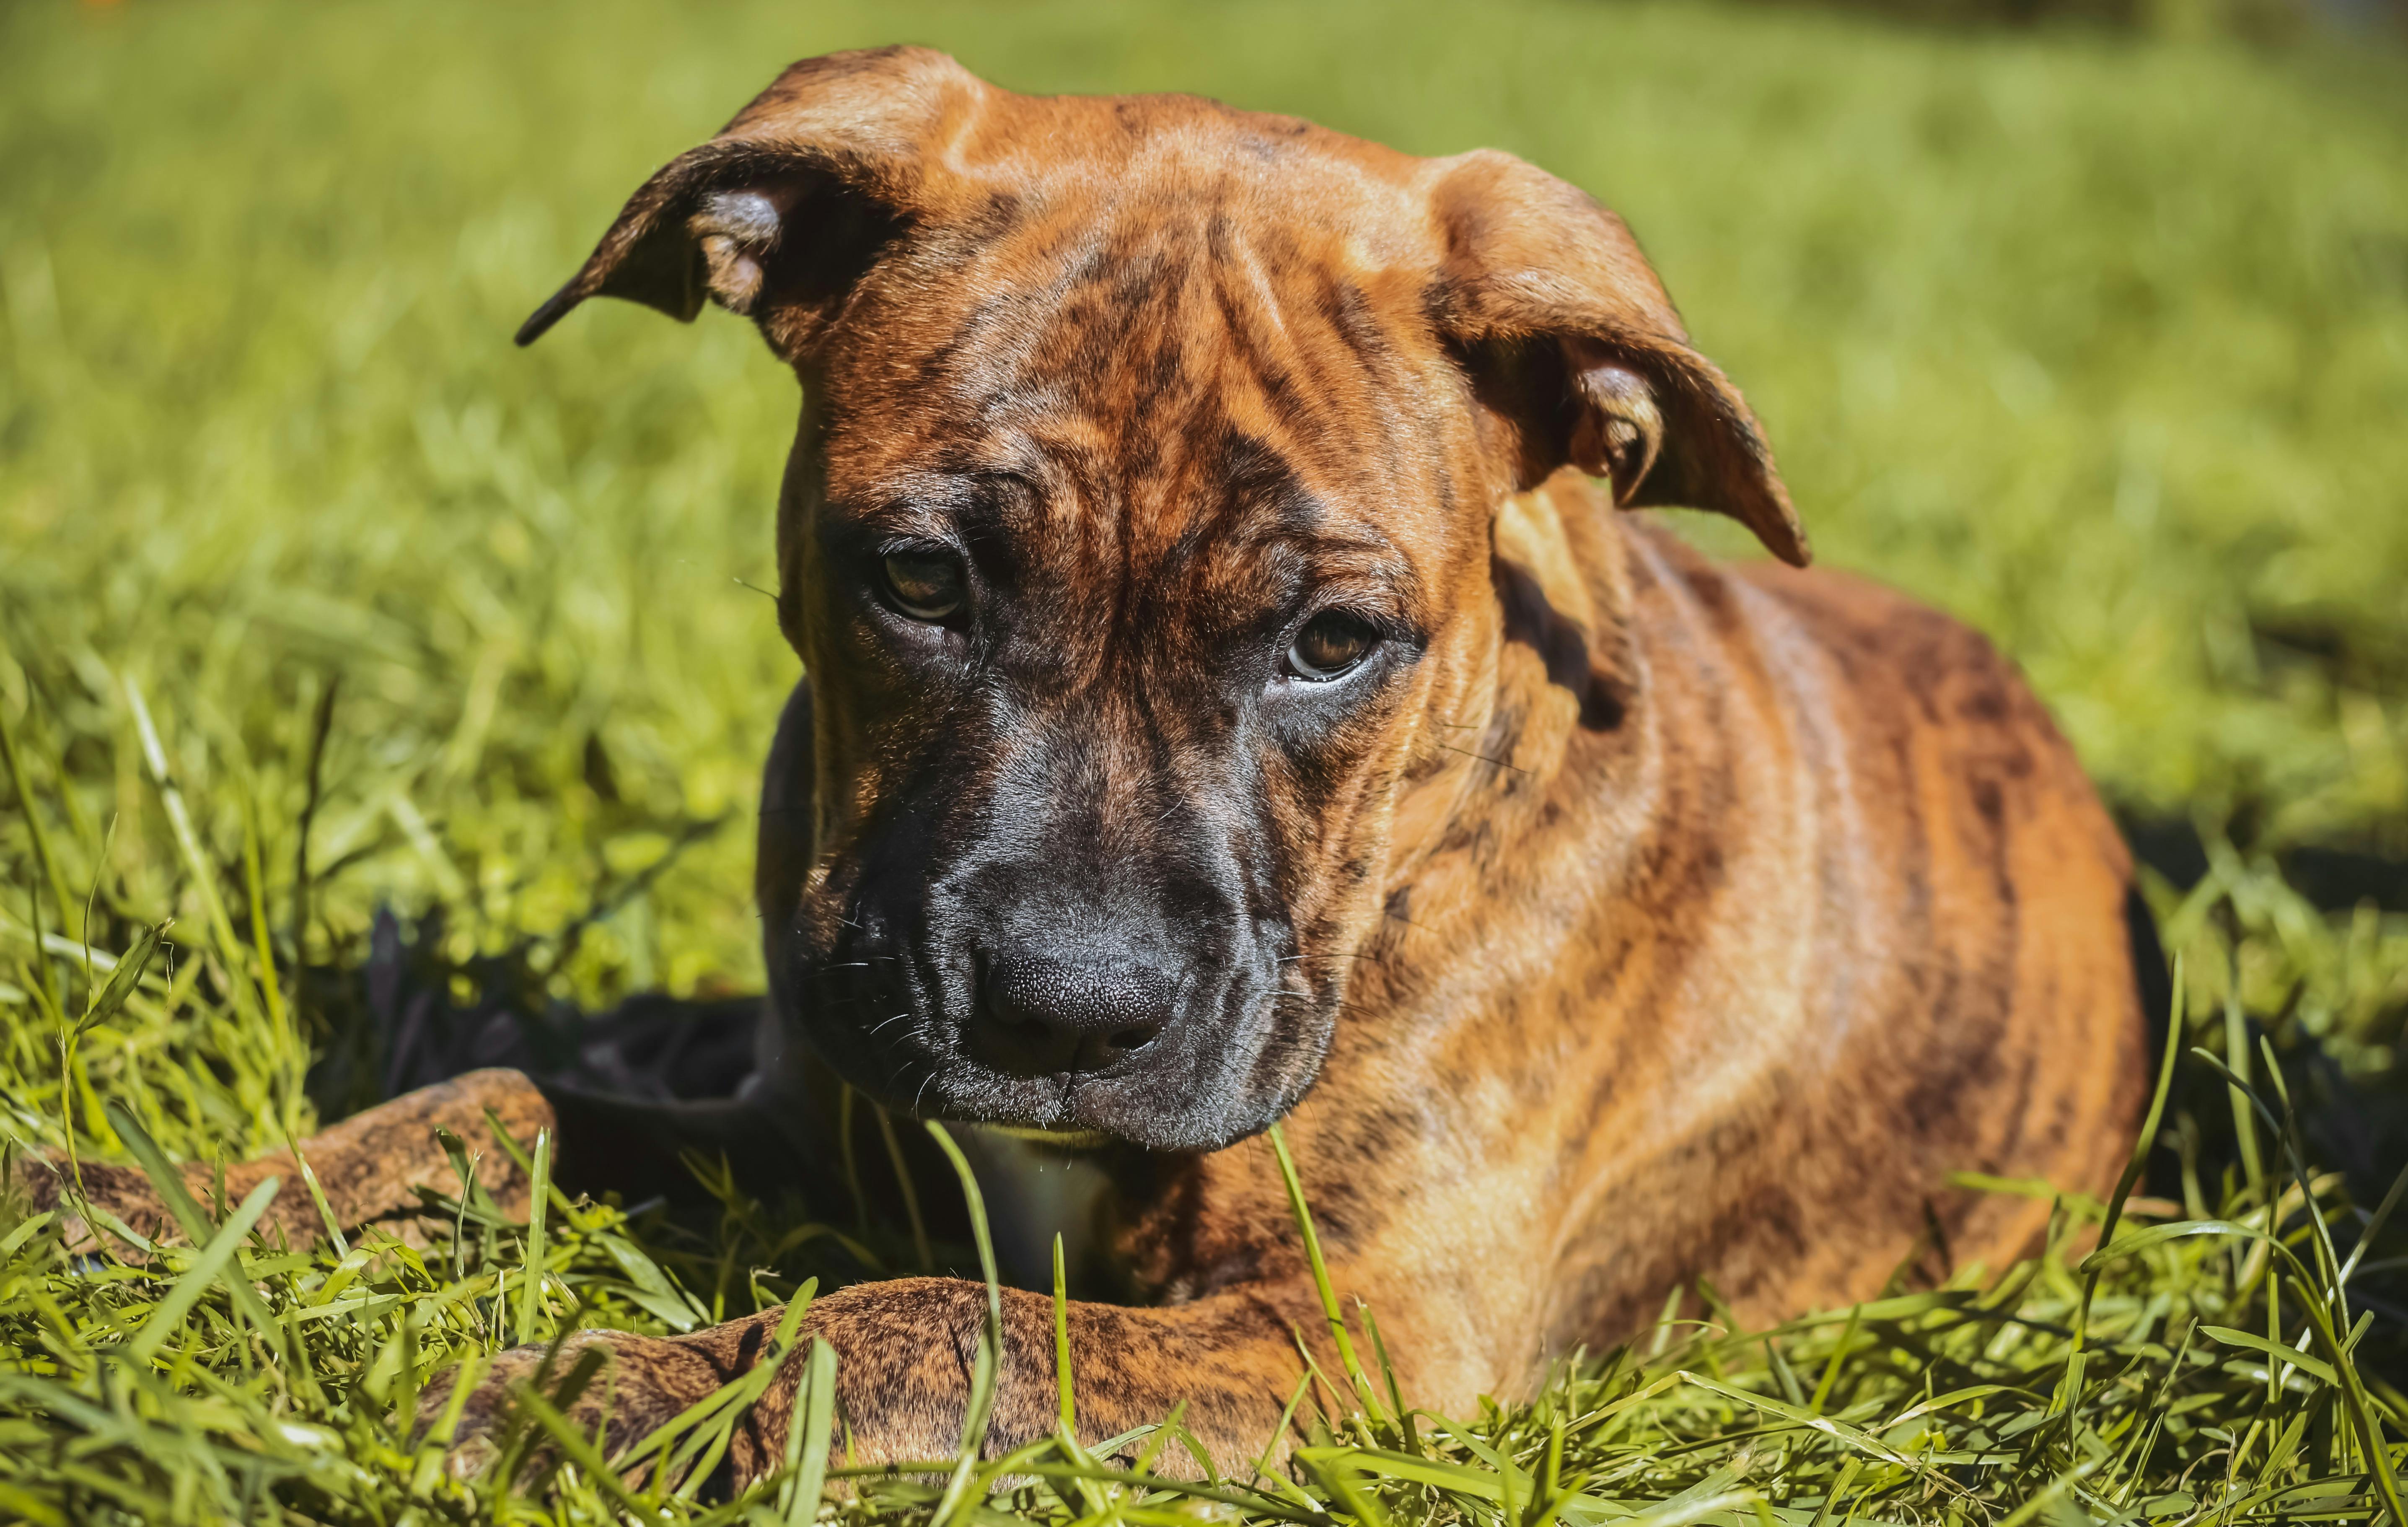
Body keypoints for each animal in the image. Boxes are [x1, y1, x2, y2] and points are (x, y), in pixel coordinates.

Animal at [33, 44, 2148, 1483]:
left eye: (1332, 642)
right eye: (915, 578)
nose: (1062, 1014)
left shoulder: (1356, 1340)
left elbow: (928, 1324)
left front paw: (597, 1396)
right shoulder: (812, 1123)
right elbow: (496, 1102)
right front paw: (141, 1202)